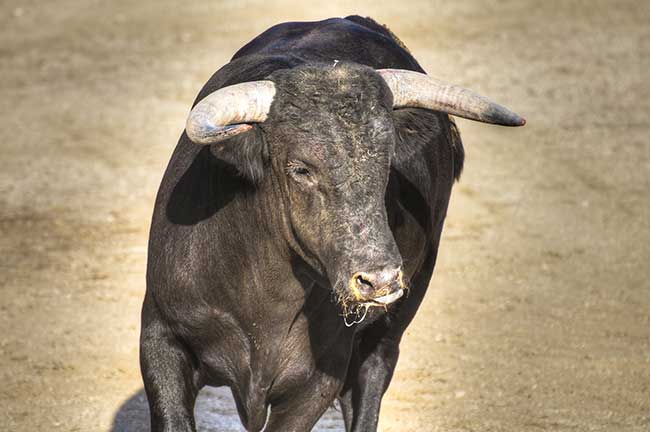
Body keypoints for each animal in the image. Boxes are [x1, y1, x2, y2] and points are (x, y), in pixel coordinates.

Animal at [139, 16, 524, 432]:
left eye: (387, 160)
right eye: (301, 169)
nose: (380, 279)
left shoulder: (319, 381)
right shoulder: (161, 339)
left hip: (390, 328)